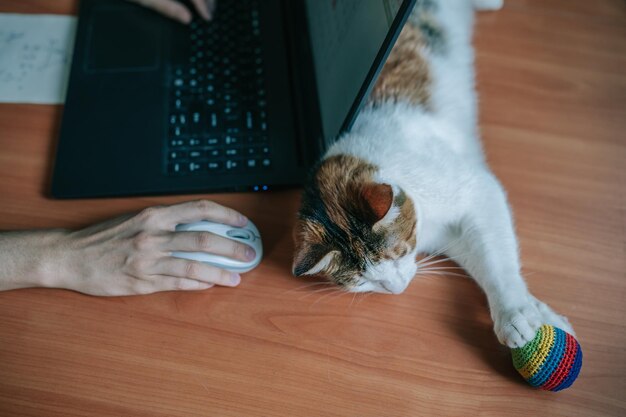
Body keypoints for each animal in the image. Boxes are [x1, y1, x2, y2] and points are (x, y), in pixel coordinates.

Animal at [290, 0, 572, 348]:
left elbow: (498, 260)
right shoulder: (453, 235)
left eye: (399, 253)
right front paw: (538, 314)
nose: (396, 289)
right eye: (363, 282)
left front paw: (515, 312)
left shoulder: (479, 190)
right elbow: (485, 258)